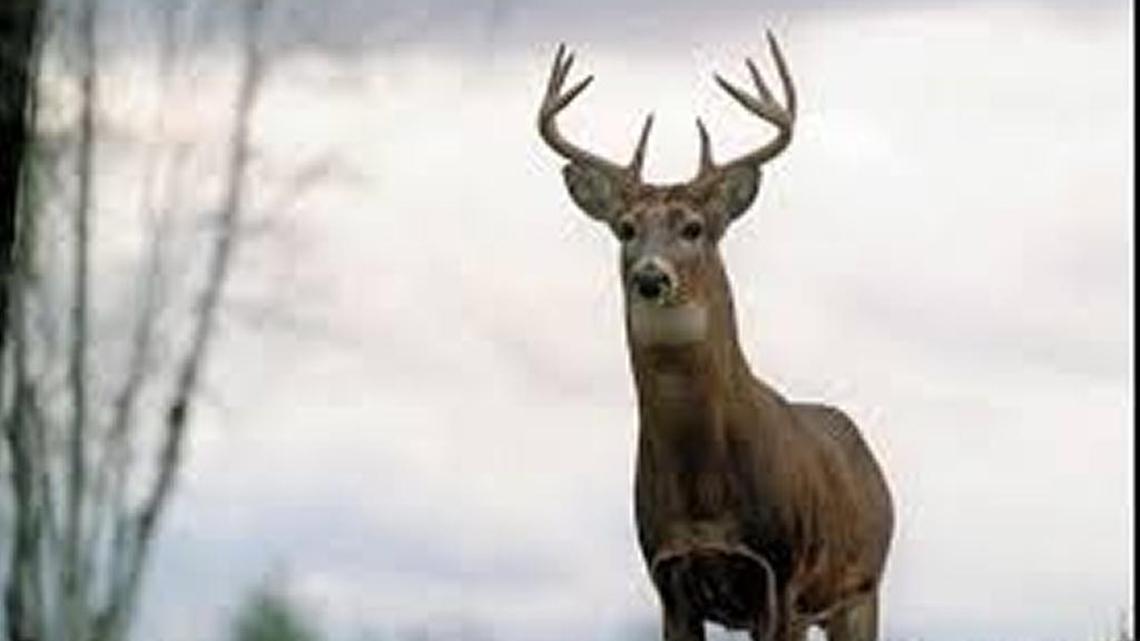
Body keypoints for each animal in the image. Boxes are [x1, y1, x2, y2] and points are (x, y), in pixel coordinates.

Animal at [536, 33, 894, 641]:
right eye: (626, 228)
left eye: (693, 228)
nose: (651, 276)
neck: (703, 496)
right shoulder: (667, 579)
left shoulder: (782, 577)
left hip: (861, 587)